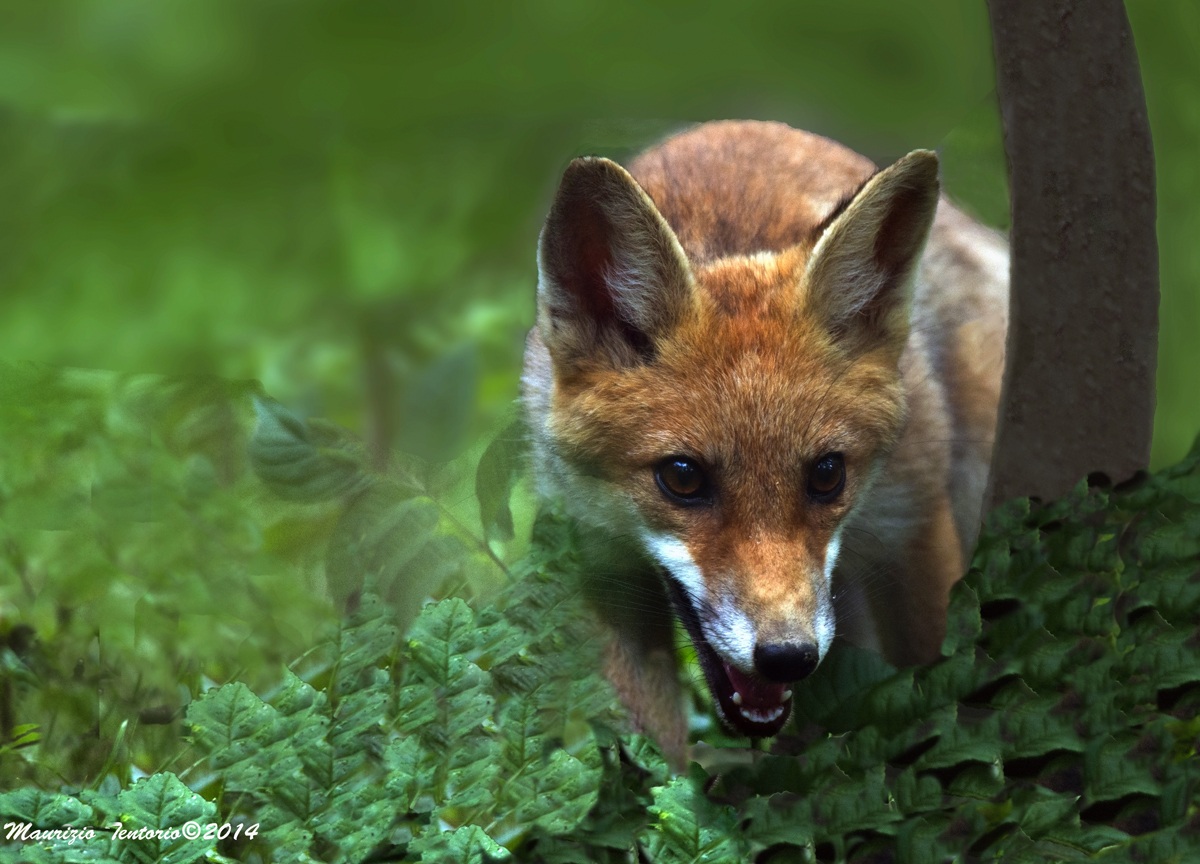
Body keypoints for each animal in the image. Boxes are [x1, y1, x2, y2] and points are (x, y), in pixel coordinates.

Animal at [522, 120, 1009, 764]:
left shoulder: (914, 529)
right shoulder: (605, 570)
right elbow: (648, 759)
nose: (787, 658)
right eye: (682, 477)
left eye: (828, 473)